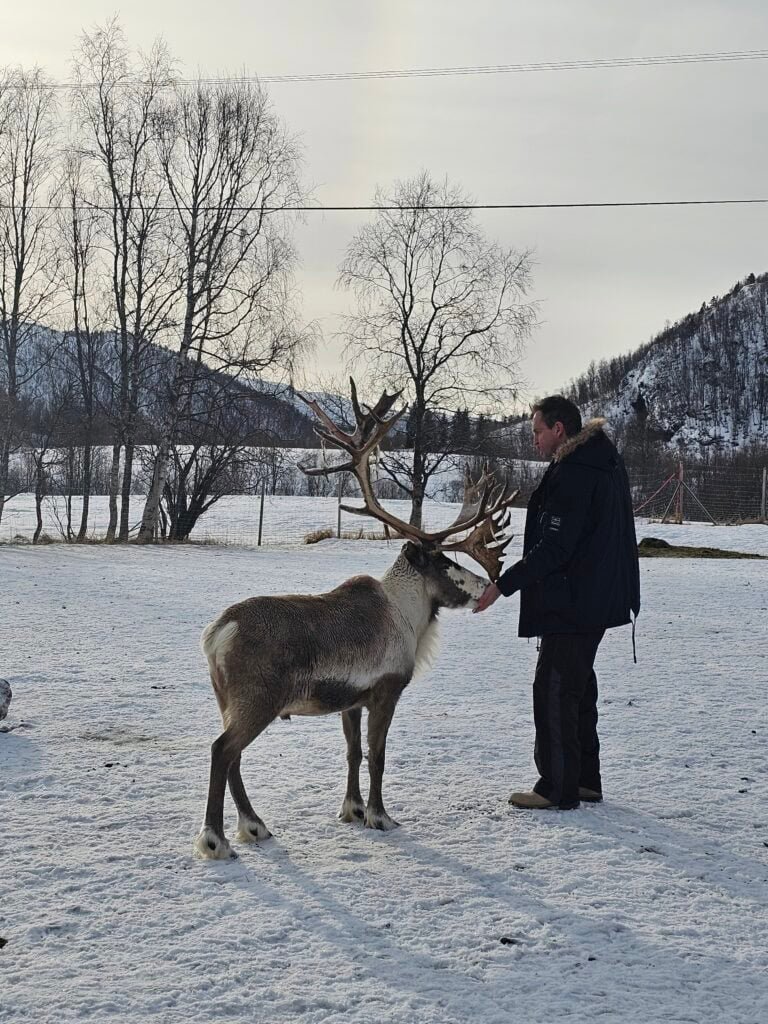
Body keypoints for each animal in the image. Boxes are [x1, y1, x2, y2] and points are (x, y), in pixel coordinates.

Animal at [193, 381, 518, 859]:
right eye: (444, 562)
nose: (486, 586)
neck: (409, 618)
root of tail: (217, 633)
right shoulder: (386, 690)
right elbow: (377, 755)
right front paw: (381, 816)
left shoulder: (351, 700)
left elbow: (353, 753)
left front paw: (353, 810)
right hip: (258, 698)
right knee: (222, 750)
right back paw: (216, 840)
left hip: (226, 699)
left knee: (232, 755)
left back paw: (254, 826)